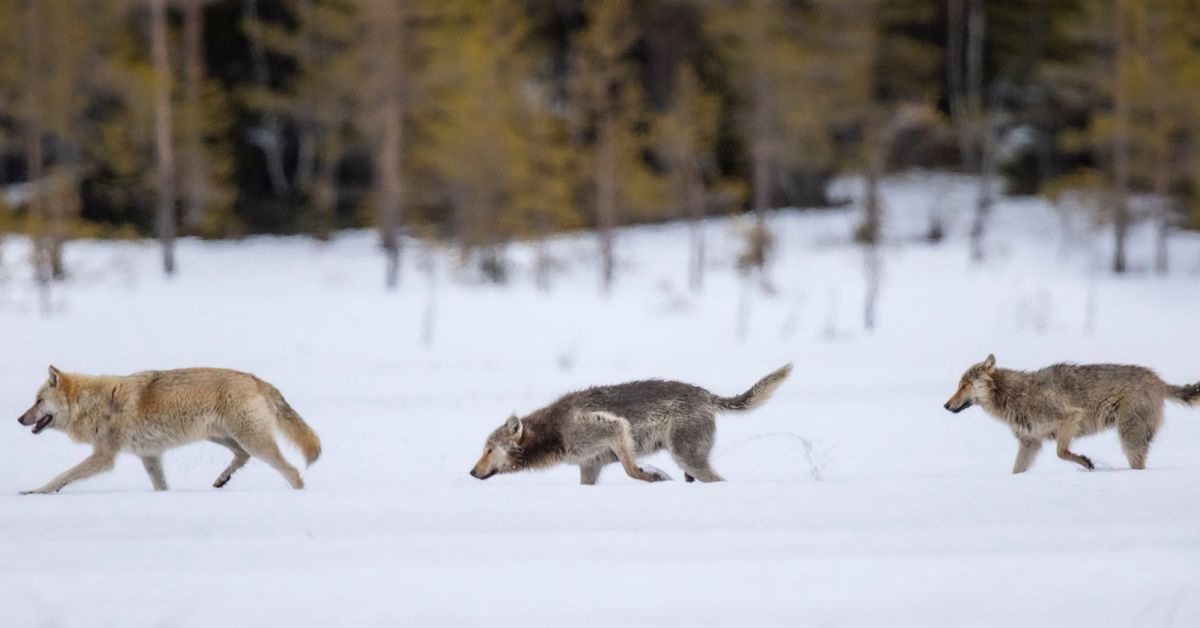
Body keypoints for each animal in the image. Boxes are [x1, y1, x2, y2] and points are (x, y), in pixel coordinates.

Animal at [16, 366, 321, 494]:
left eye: (38, 401)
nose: (19, 419)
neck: (98, 403)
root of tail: (257, 379)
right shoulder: (149, 456)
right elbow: (161, 486)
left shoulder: (104, 457)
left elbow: (63, 474)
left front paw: (37, 492)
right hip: (223, 437)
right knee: (242, 457)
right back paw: (221, 480)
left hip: (252, 441)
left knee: (292, 471)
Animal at [469, 364, 792, 484]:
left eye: (488, 449)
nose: (471, 472)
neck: (555, 431)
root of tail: (704, 394)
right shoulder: (590, 465)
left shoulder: (614, 427)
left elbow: (630, 469)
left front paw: (652, 476)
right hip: (689, 463)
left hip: (687, 458)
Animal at [944, 354, 1199, 473]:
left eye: (964, 385)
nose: (945, 405)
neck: (1014, 395)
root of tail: (1159, 381)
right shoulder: (1030, 443)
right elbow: (1015, 471)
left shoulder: (1069, 418)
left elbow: (1061, 452)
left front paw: (1086, 463)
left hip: (1129, 438)